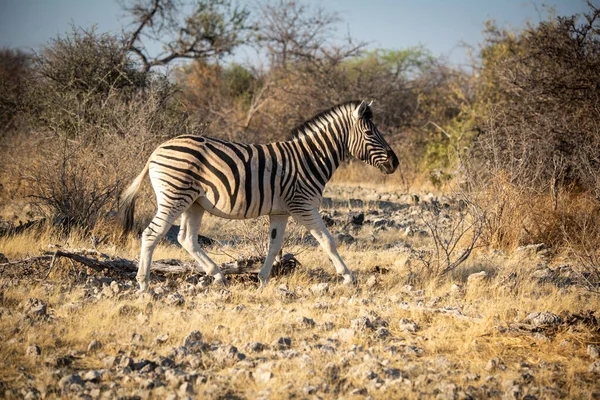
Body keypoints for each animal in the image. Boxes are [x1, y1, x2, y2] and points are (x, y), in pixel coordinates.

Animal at [119, 100, 398, 292]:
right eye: (370, 133)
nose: (395, 163)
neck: (311, 158)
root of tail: (156, 150)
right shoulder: (303, 205)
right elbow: (327, 241)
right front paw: (348, 277)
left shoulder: (281, 211)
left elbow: (274, 246)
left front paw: (262, 280)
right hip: (174, 196)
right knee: (151, 234)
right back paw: (143, 284)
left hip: (194, 202)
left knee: (186, 238)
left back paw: (218, 275)